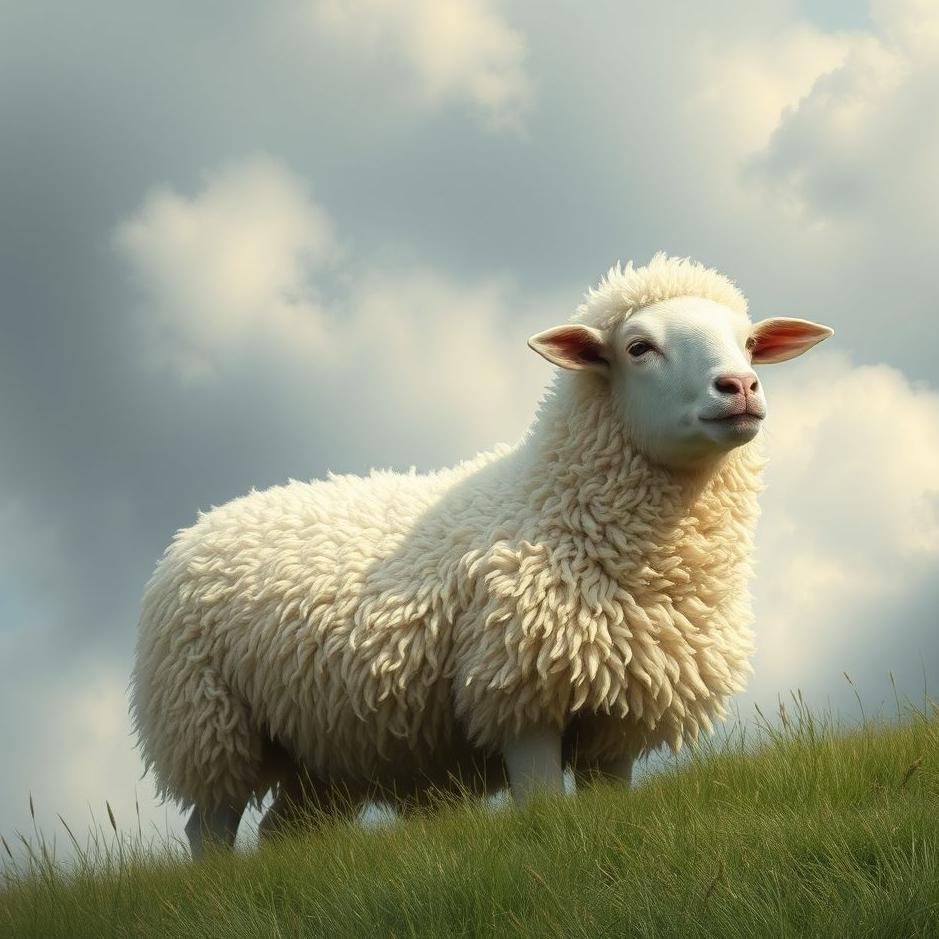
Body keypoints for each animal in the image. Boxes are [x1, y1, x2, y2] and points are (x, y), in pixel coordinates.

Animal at [130, 253, 833, 857]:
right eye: (639, 348)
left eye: (749, 343)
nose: (739, 386)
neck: (559, 505)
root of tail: (196, 527)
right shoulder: (519, 691)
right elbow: (543, 807)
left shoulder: (618, 717)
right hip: (208, 722)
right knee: (208, 827)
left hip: (323, 747)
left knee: (283, 831)